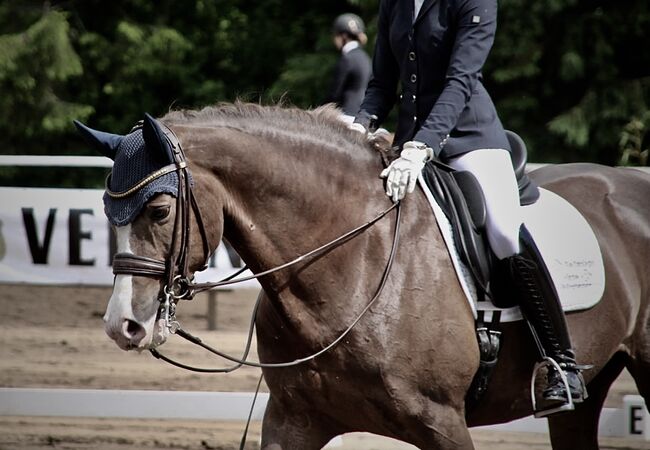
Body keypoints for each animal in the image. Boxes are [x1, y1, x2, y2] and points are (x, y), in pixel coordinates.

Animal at [79, 103, 648, 448]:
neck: (351, 264)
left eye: (159, 211)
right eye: (107, 212)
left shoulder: (443, 422)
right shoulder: (294, 420)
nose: (122, 325)